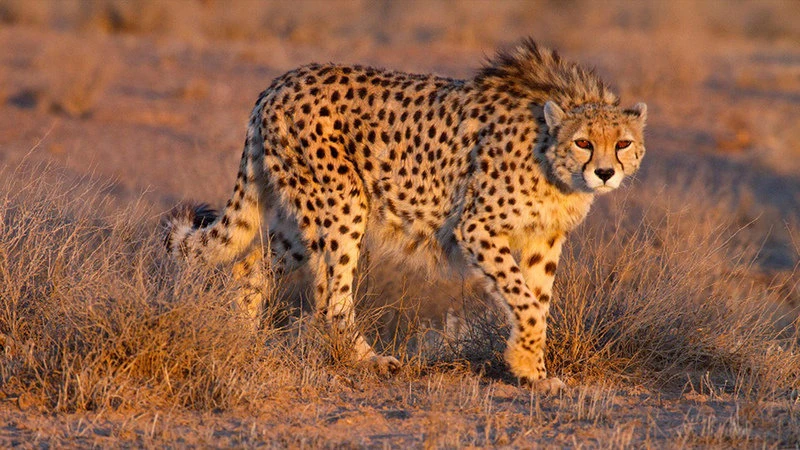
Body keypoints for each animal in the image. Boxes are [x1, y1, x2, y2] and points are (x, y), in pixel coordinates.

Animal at [165, 38, 647, 394]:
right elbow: (525, 300)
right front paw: (526, 363)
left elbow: (538, 301)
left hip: (300, 219)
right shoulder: (477, 229)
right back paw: (367, 359)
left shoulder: (542, 240)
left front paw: (533, 371)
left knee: (250, 265)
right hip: (342, 204)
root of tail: (280, 82)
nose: (605, 172)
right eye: (584, 142)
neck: (552, 160)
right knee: (330, 299)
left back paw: (241, 337)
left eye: (623, 143)